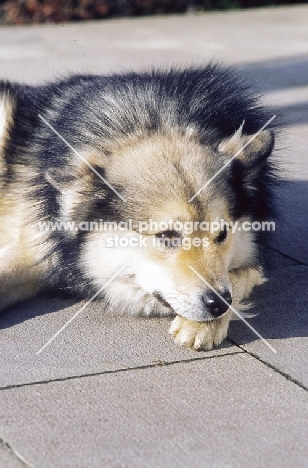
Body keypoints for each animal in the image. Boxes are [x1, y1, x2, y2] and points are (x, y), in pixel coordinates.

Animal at [0, 66, 276, 352]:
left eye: (222, 235)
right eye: (167, 236)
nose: (218, 304)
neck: (153, 121)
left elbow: (238, 276)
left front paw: (202, 326)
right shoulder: (35, 246)